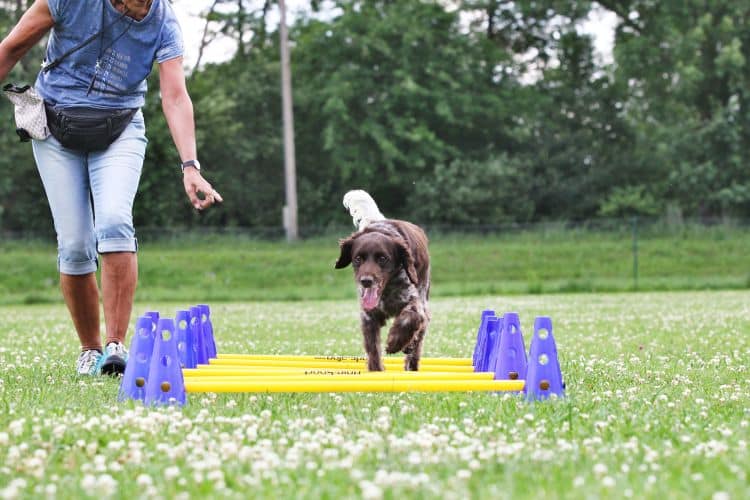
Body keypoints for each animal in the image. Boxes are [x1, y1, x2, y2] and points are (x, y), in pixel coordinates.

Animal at [336, 191, 432, 372]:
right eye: (358, 258)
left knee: (418, 340)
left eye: (382, 258)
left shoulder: (415, 303)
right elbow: (373, 349)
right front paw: (376, 371)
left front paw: (395, 342)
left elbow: (411, 317)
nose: (366, 281)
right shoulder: (369, 316)